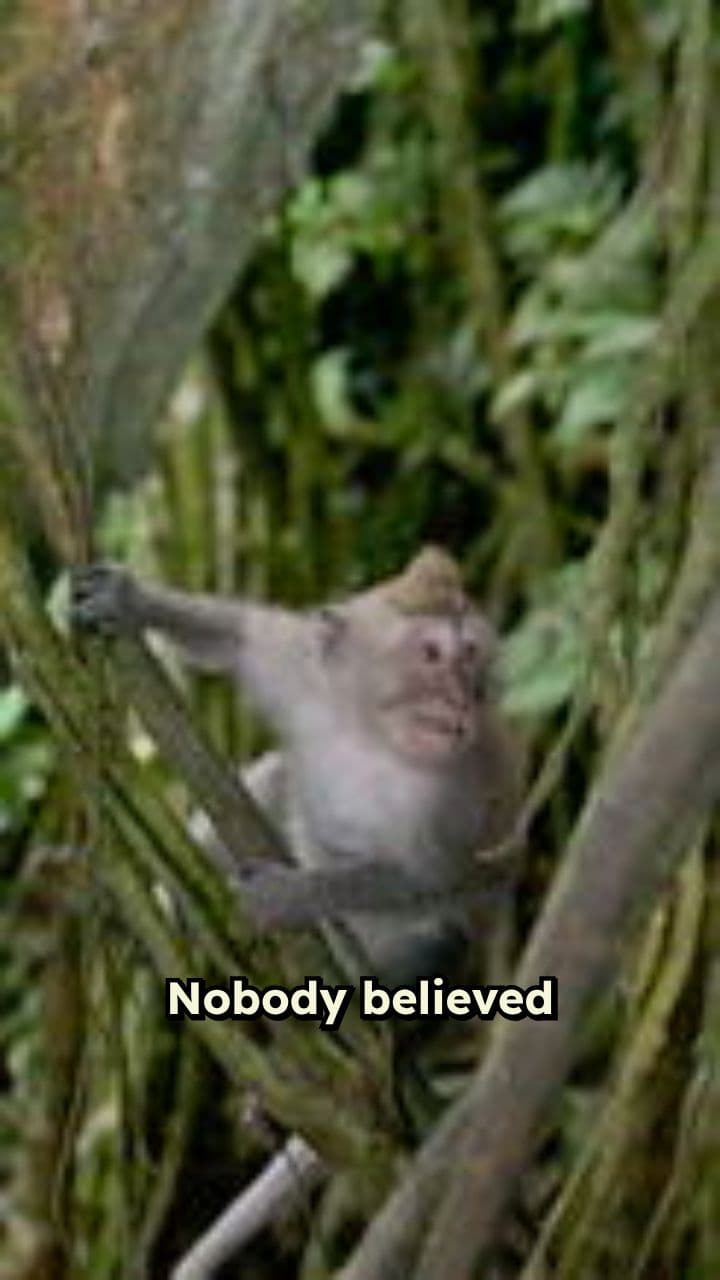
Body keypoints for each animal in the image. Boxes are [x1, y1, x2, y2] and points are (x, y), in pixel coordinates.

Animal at [71, 546, 521, 1276]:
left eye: (472, 659)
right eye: (432, 654)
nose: (461, 697)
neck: (375, 738)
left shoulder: (458, 794)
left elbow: (426, 878)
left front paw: (285, 898)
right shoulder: (306, 677)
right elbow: (238, 640)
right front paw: (130, 602)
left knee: (440, 939)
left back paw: (373, 1041)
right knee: (273, 778)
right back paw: (169, 901)